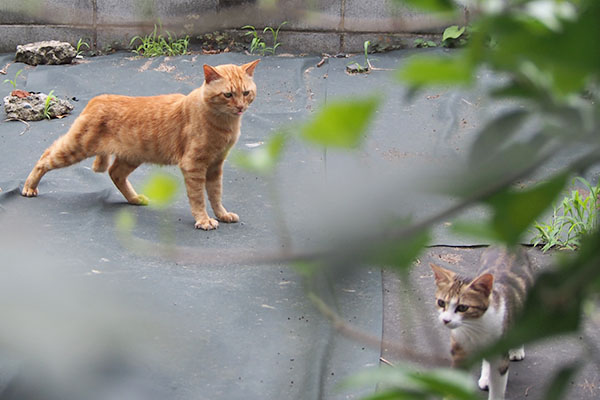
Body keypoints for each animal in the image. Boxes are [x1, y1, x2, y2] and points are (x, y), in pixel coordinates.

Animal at [20, 57, 260, 230]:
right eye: (228, 95)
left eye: (246, 93)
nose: (240, 107)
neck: (224, 125)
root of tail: (97, 99)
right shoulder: (194, 165)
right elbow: (198, 197)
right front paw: (203, 220)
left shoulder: (215, 166)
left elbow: (215, 194)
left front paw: (222, 214)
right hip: (76, 148)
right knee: (45, 156)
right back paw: (29, 187)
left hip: (131, 156)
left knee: (115, 173)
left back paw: (134, 199)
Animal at [432, 247, 536, 400]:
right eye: (441, 302)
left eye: (462, 307)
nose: (446, 320)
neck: (475, 326)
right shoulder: (459, 351)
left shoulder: (500, 355)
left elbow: (498, 386)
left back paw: (517, 350)